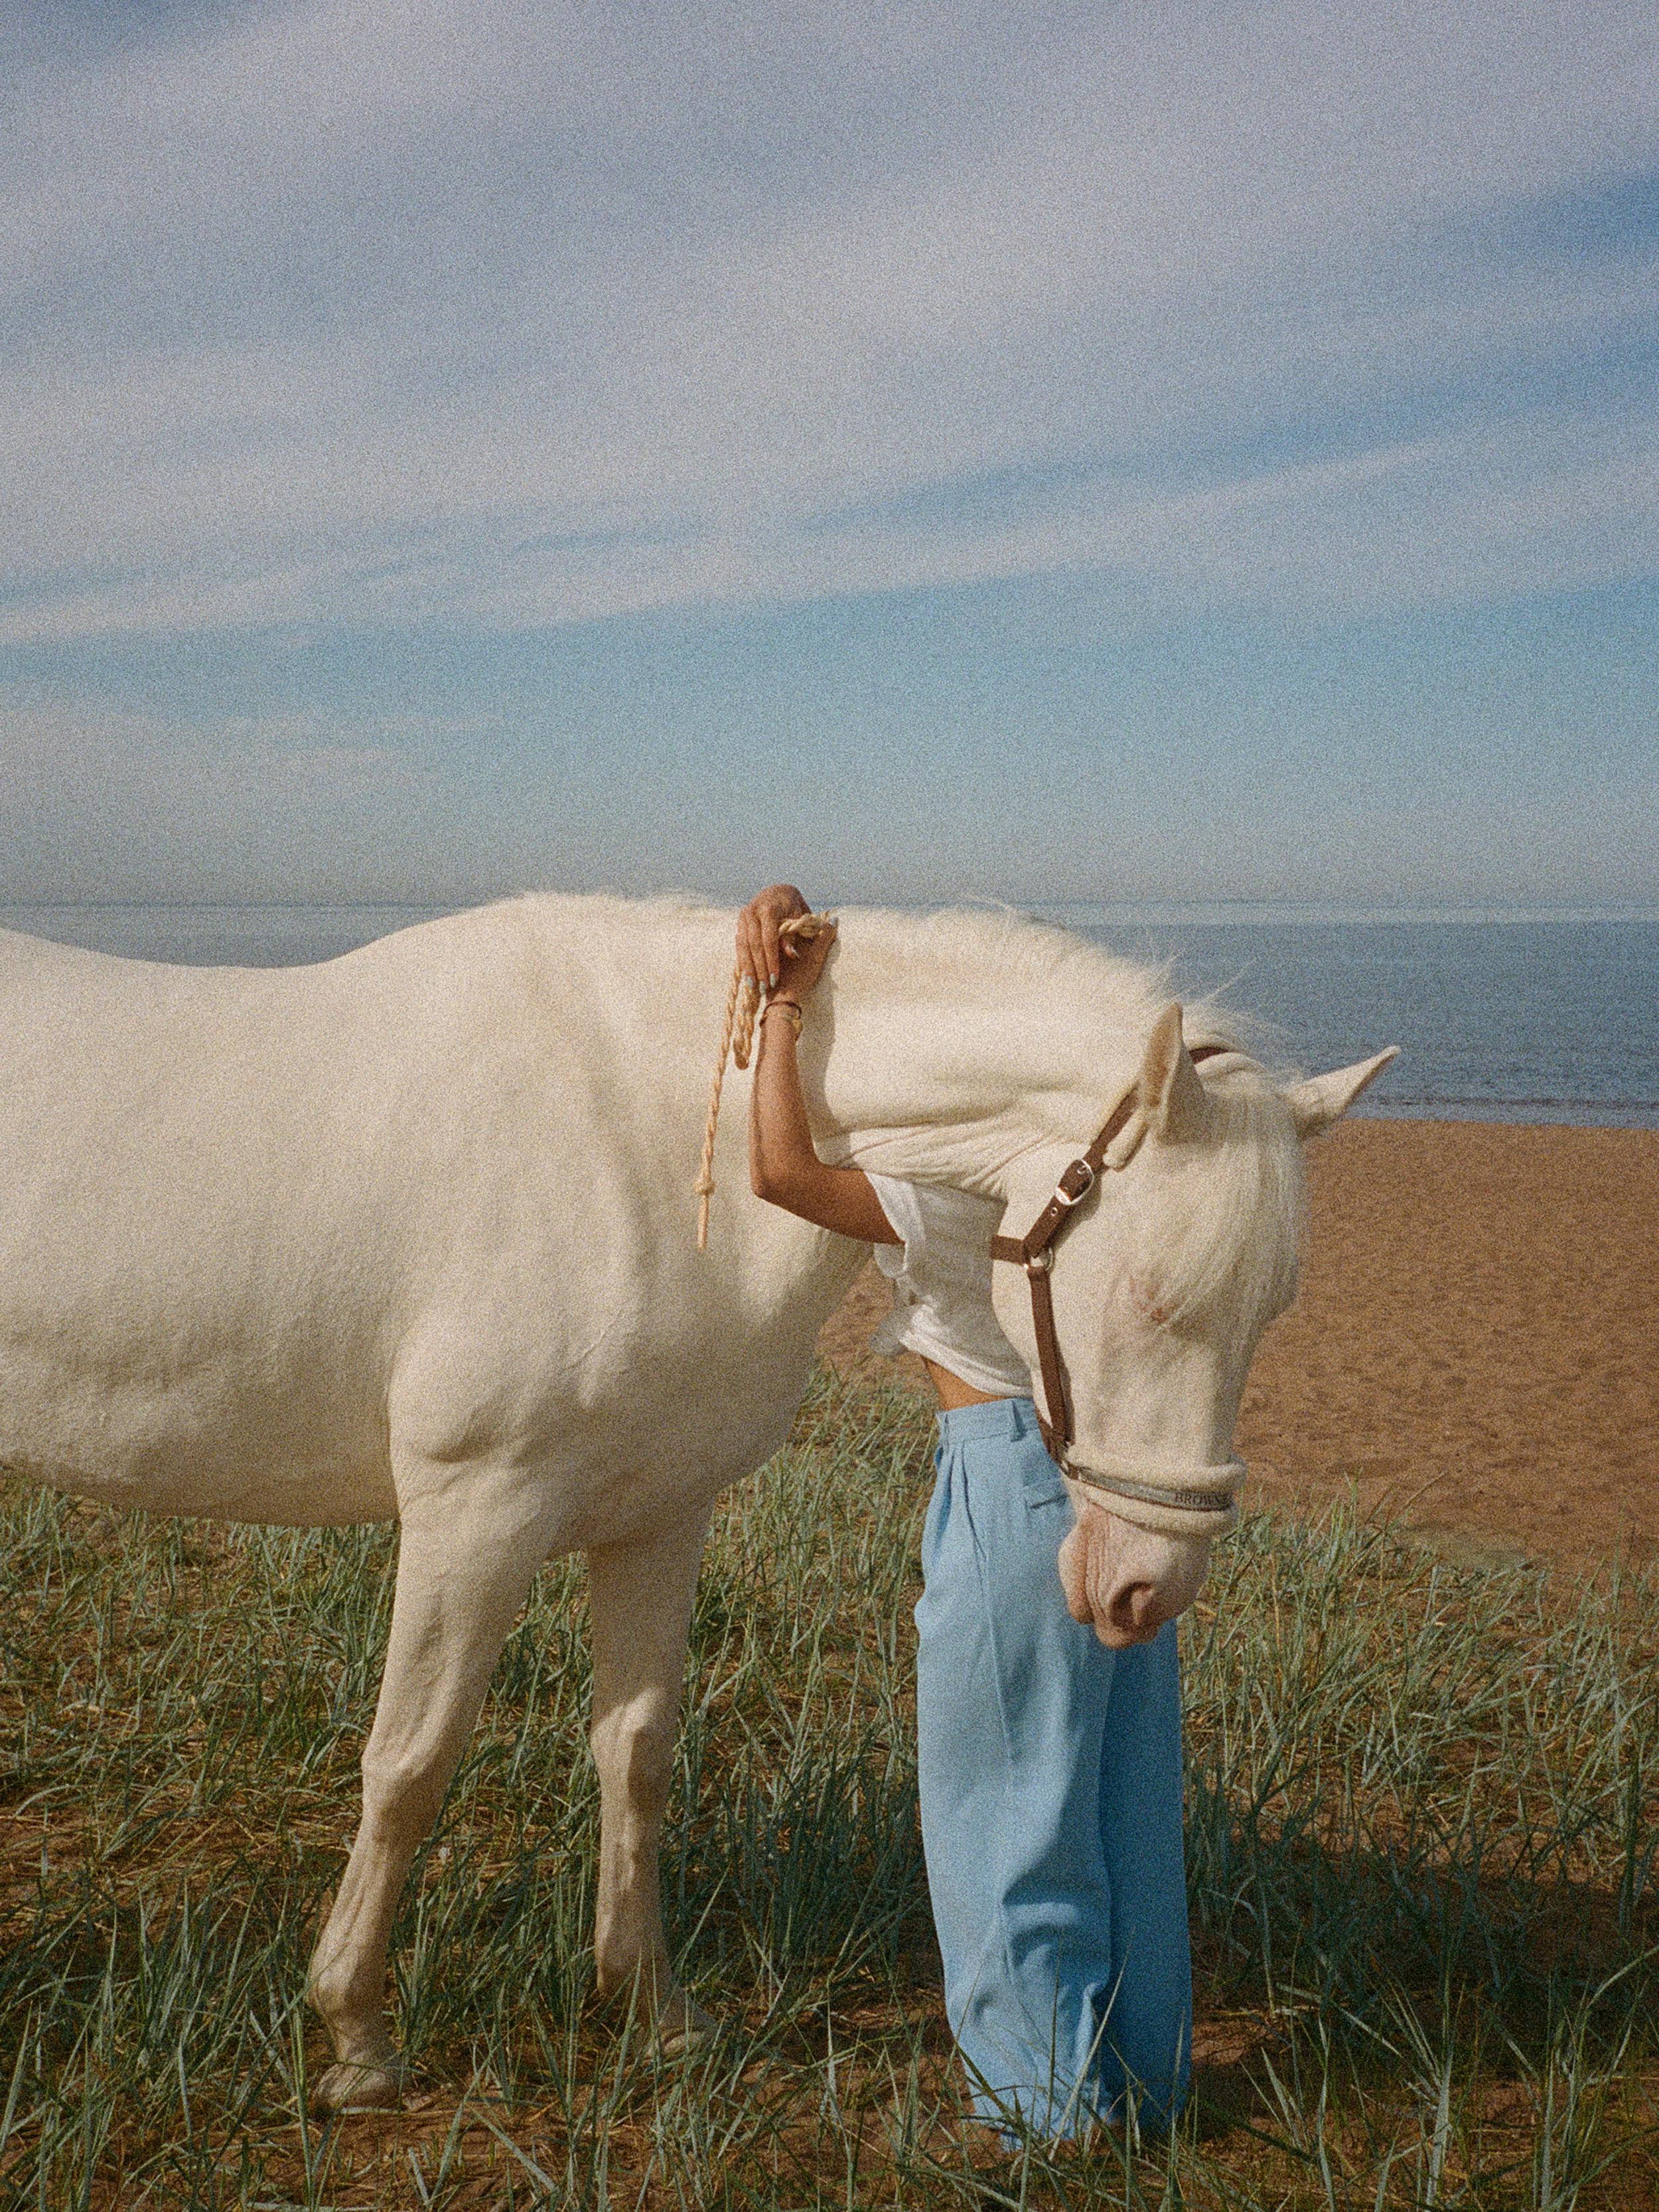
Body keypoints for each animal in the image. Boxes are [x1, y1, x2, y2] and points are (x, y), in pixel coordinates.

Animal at [0, 898, 1407, 2106]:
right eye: (1153, 1297)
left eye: (1268, 1311)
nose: (1146, 1584)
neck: (649, 1126)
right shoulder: (474, 1511)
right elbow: (408, 1764)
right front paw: (357, 2034)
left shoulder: (658, 1515)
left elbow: (636, 1751)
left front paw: (655, 2009)